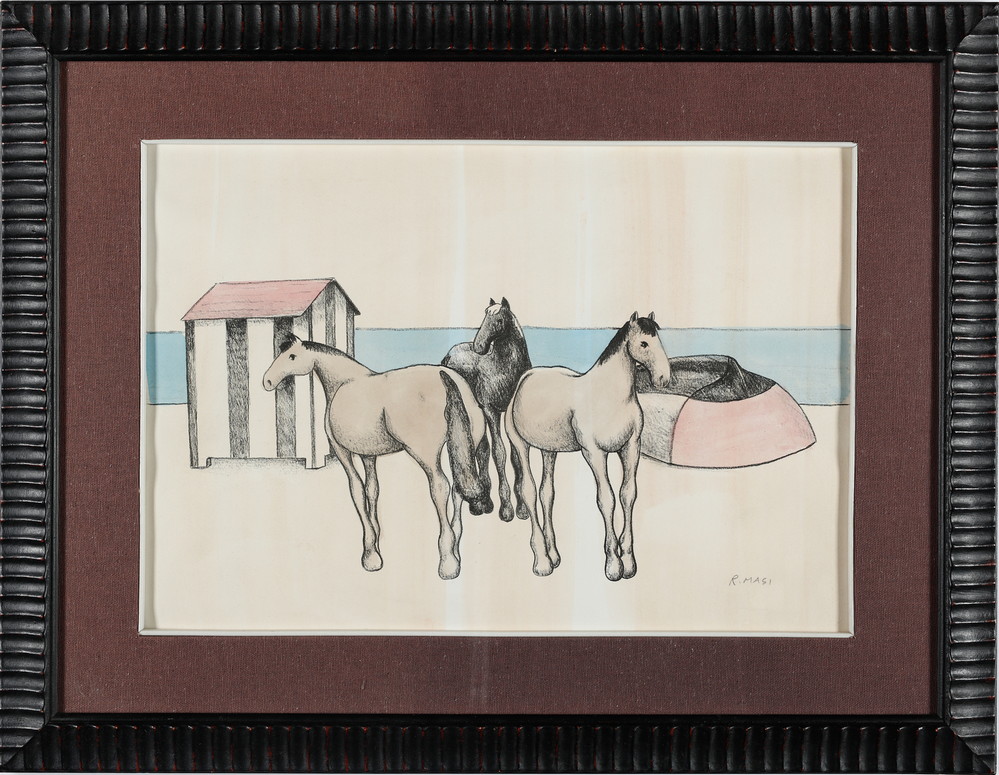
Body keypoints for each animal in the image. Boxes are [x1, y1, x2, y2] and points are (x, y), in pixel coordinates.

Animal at [263, 336, 492, 580]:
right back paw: (456, 551)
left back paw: (447, 561)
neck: (343, 382)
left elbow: (356, 489)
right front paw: (375, 546)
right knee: (458, 488)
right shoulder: (369, 455)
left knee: (440, 487)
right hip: (464, 446)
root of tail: (446, 376)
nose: (267, 381)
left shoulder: (342, 451)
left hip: (426, 455)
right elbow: (371, 490)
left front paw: (370, 555)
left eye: (292, 356)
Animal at [442, 297, 532, 522]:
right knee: (479, 449)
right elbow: (499, 453)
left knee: (481, 450)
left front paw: (522, 509)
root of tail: (448, 356)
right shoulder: (491, 411)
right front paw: (507, 509)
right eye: (485, 314)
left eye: (498, 320)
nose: (479, 345)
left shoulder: (508, 413)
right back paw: (481, 504)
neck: (504, 368)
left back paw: (486, 502)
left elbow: (515, 457)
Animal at [504, 313, 671, 581]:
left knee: (546, 493)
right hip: (520, 445)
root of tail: (526, 378)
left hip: (549, 451)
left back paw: (553, 555)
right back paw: (542, 561)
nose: (663, 379)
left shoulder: (630, 447)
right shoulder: (594, 453)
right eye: (644, 343)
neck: (610, 397)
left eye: (659, 339)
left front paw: (628, 560)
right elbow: (607, 499)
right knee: (528, 490)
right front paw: (613, 564)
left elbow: (627, 494)